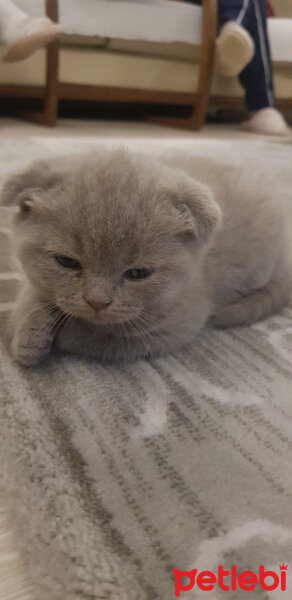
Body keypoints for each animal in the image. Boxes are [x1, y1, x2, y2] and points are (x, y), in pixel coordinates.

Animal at [1, 149, 290, 366]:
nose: (97, 302)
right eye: (66, 261)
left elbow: (104, 339)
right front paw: (28, 333)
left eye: (138, 274)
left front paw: (61, 332)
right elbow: (34, 293)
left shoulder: (176, 325)